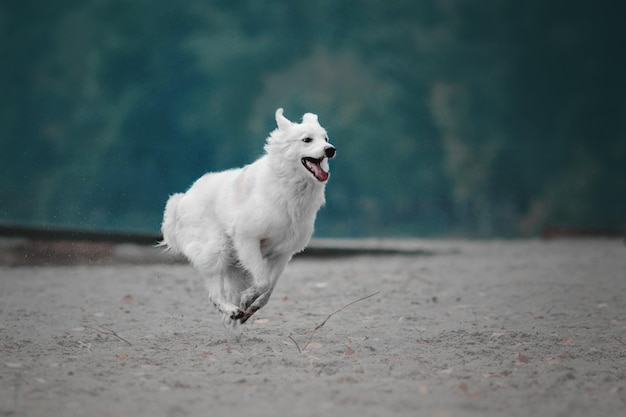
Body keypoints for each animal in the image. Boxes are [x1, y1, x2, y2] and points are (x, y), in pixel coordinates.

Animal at [162, 109, 336, 324]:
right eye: (307, 140)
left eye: (326, 138)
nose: (331, 150)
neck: (289, 187)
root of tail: (183, 198)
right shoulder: (247, 239)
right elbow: (262, 282)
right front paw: (247, 298)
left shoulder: (283, 253)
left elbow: (268, 290)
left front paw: (250, 306)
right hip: (216, 248)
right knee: (214, 294)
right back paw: (230, 310)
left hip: (233, 262)